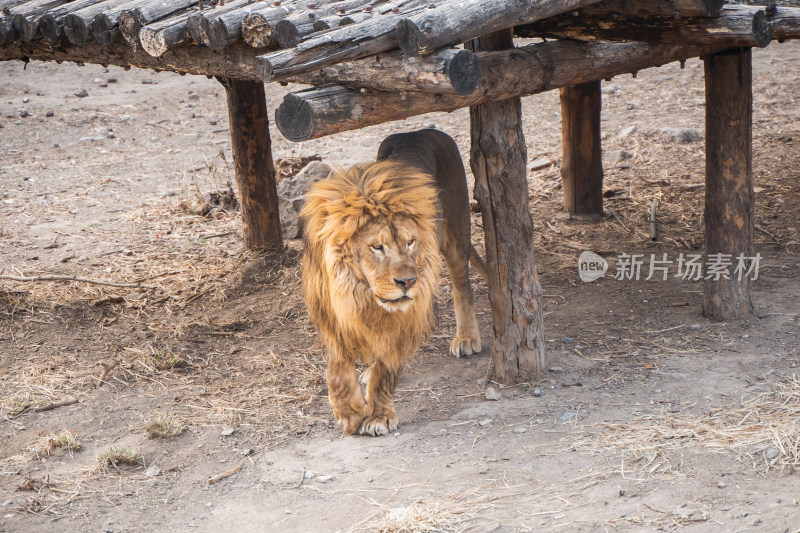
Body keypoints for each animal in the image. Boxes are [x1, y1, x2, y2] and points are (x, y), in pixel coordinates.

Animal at [300, 130, 484, 436]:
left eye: (410, 242)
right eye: (377, 247)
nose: (408, 282)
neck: (359, 290)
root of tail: (423, 130)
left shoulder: (402, 318)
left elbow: (385, 372)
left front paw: (378, 416)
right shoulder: (331, 311)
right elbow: (337, 369)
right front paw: (349, 412)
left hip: (456, 233)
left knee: (462, 287)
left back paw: (467, 337)